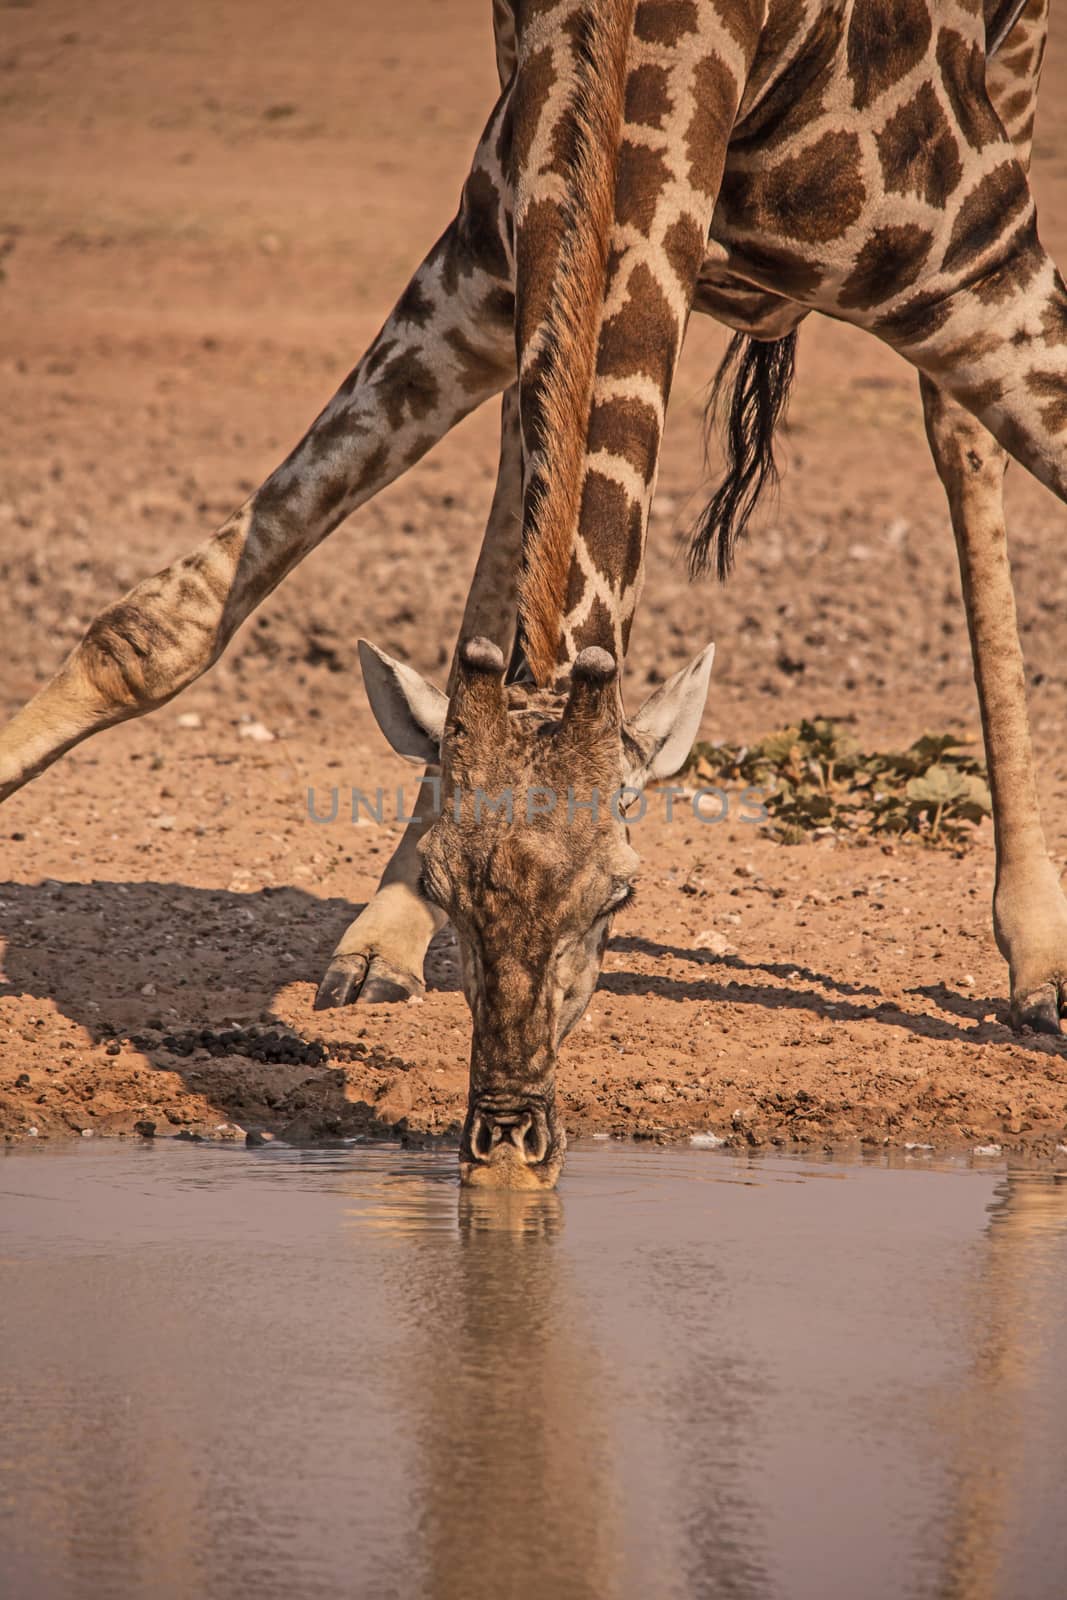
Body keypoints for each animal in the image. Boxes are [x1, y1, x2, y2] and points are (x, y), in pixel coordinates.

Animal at [0, 0, 1062, 1177]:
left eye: (622, 893)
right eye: (450, 889)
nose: (507, 1135)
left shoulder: (976, 258)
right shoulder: (483, 255)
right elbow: (160, 627)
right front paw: (395, 919)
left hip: (1005, 103)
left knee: (956, 435)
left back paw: (1037, 961)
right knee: (524, 461)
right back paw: (375, 940)